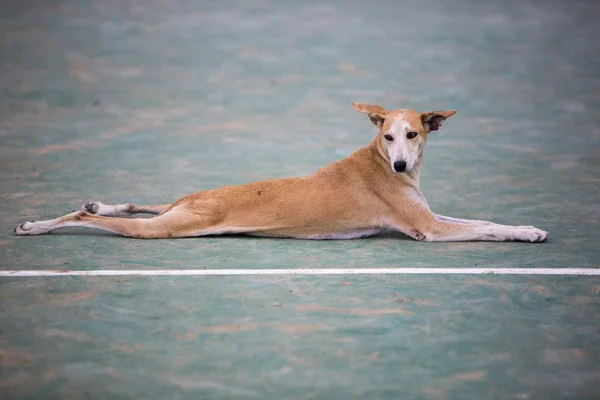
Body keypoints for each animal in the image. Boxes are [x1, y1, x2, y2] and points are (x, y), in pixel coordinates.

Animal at [12, 101, 548, 242]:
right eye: (388, 136)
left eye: (413, 134)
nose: (399, 163)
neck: (379, 159)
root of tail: (191, 200)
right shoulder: (427, 229)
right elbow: (488, 230)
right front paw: (525, 232)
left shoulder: (431, 217)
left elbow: (486, 221)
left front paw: (527, 226)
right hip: (170, 227)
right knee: (89, 220)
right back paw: (39, 225)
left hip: (175, 211)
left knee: (133, 204)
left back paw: (99, 203)